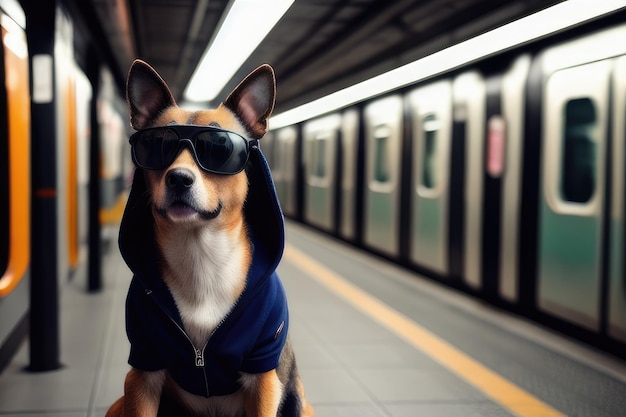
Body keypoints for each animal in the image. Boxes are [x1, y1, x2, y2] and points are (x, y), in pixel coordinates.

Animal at [106, 59, 316, 416]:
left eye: (220, 146)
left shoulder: (264, 378)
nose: (179, 178)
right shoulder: (143, 369)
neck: (200, 254)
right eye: (157, 144)